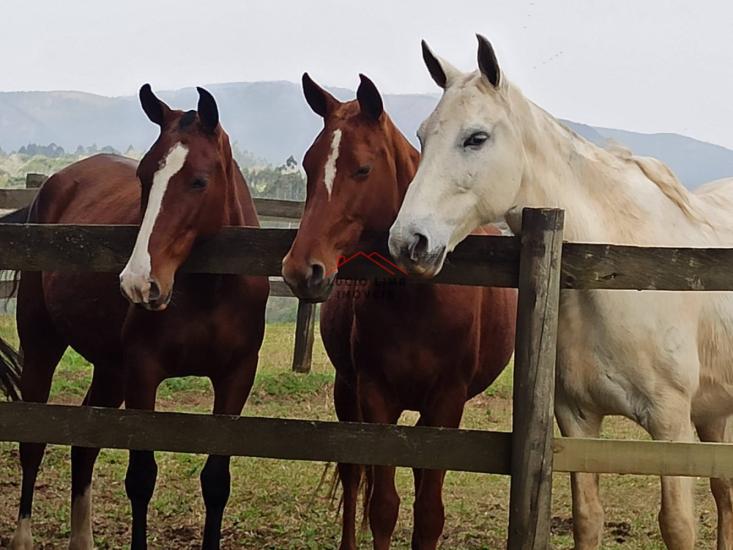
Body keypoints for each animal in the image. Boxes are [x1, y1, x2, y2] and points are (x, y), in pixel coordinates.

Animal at [4, 86, 268, 550]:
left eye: (199, 180)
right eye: (145, 177)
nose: (139, 283)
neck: (210, 290)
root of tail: (53, 185)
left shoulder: (237, 376)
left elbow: (217, 480)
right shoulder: (144, 372)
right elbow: (142, 476)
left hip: (111, 369)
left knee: (84, 445)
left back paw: (82, 540)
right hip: (41, 346)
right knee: (32, 443)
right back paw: (23, 539)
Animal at [280, 74, 516, 550]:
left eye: (363, 168)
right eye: (310, 167)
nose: (301, 269)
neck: (418, 303)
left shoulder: (446, 404)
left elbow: (428, 513)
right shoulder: (374, 396)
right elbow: (383, 506)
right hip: (346, 392)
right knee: (353, 476)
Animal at [388, 35, 733, 550]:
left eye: (476, 138)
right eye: (423, 135)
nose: (408, 242)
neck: (615, 275)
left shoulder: (670, 425)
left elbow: (677, 525)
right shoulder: (576, 418)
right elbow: (587, 518)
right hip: (713, 413)